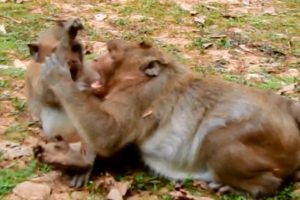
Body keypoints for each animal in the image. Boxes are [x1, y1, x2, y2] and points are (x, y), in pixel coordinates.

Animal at [25, 18, 99, 186]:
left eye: (76, 48)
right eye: (55, 50)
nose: (73, 60)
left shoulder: (89, 72)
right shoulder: (35, 72)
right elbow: (47, 93)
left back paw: (78, 160)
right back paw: (65, 156)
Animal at [34, 39, 300, 197]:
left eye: (111, 53)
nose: (96, 59)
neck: (135, 78)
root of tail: (289, 109)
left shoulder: (140, 96)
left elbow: (109, 135)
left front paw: (58, 76)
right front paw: (76, 160)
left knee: (217, 141)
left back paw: (250, 187)